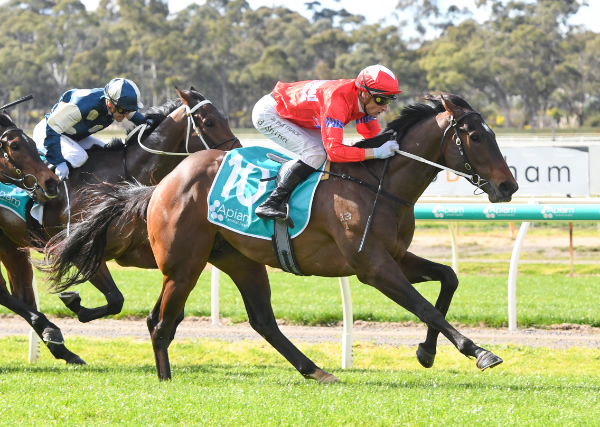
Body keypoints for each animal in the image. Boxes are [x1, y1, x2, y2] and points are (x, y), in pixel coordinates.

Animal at [44, 93, 516, 382]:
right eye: (476, 136)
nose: (508, 185)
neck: (379, 184)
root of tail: (161, 184)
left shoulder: (396, 256)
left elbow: (448, 279)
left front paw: (427, 352)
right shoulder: (373, 267)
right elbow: (424, 307)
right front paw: (478, 351)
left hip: (238, 259)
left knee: (261, 320)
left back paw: (316, 371)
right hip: (183, 265)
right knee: (161, 322)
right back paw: (166, 380)